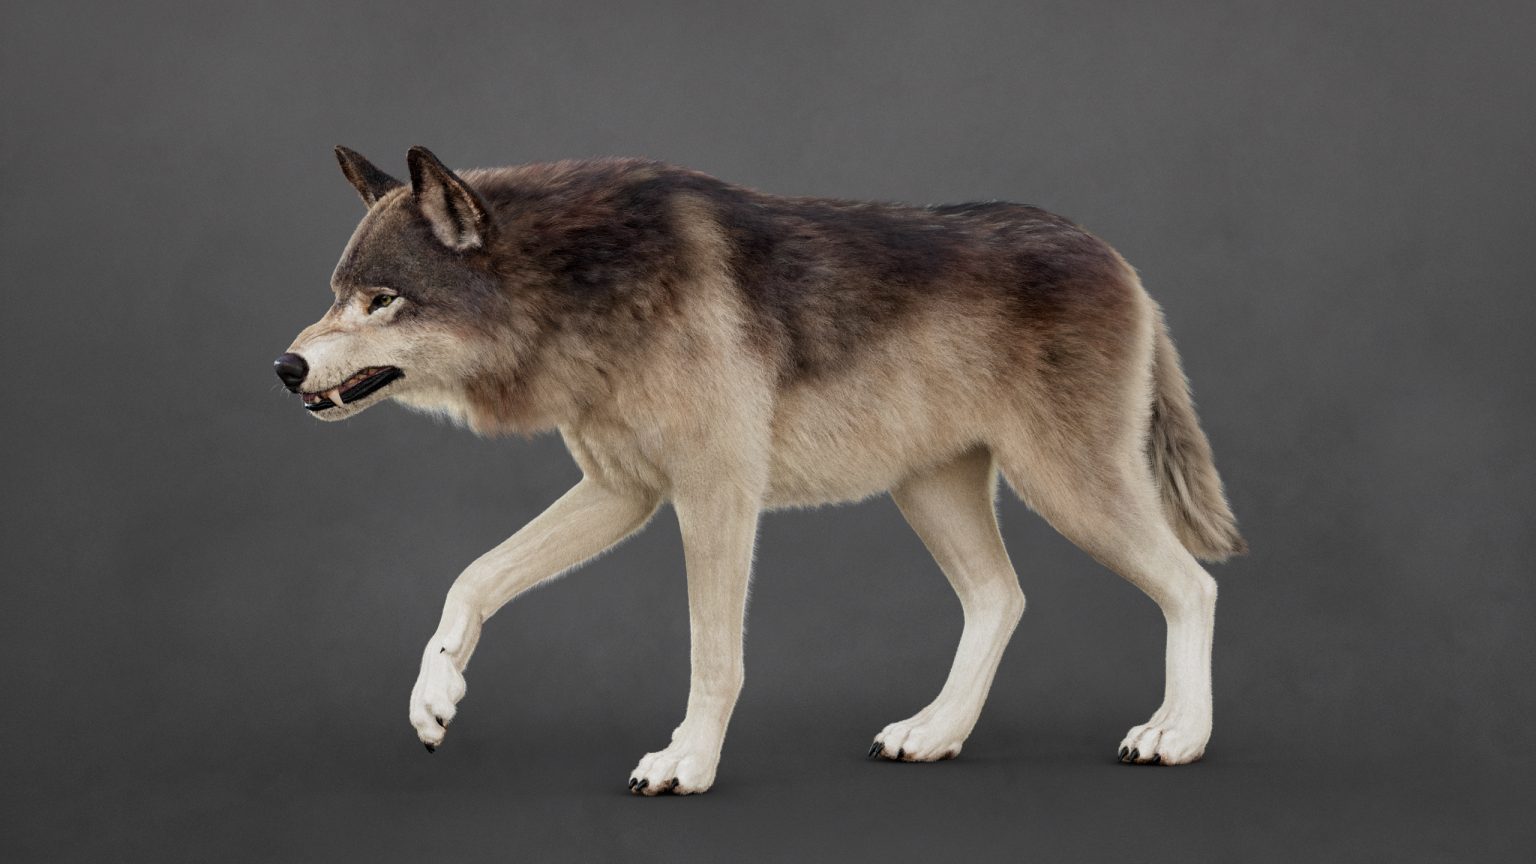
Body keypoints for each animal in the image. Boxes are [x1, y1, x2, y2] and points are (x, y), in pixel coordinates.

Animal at [276, 145, 1245, 795]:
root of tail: (1121, 261)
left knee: (1193, 587)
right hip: (934, 493)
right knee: (1002, 600)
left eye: (382, 301)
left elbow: (714, 654)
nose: (286, 367)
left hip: (1066, 487)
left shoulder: (713, 497)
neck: (581, 286)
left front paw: (688, 762)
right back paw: (934, 734)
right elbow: (472, 578)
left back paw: (1179, 736)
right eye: (335, 295)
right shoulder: (625, 492)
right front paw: (434, 698)